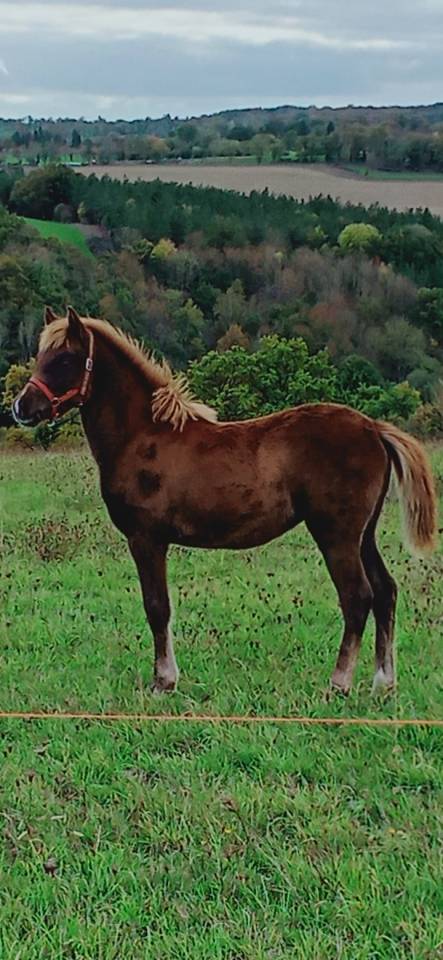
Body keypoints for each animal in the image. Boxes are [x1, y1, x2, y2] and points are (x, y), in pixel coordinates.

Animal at [13, 306, 437, 696]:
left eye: (64, 359)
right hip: (364, 535)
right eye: (41, 355)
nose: (21, 407)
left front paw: (163, 682)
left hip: (337, 535)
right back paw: (383, 682)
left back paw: (339, 684)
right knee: (385, 592)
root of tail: (374, 429)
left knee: (357, 597)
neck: (144, 437)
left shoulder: (146, 539)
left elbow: (157, 607)